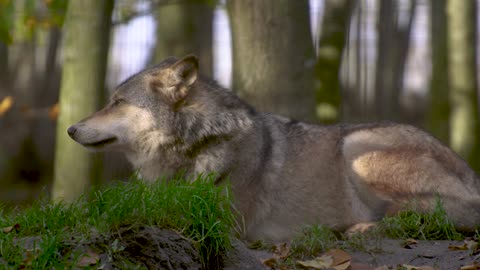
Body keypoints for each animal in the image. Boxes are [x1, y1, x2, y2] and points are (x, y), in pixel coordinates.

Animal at [67, 54, 480, 243]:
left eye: (117, 102)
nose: (70, 129)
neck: (199, 143)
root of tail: (472, 175)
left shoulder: (220, 221)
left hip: (356, 147)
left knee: (431, 215)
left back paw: (358, 227)